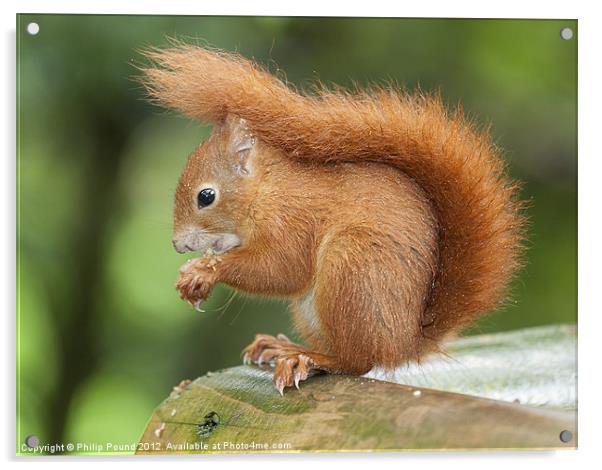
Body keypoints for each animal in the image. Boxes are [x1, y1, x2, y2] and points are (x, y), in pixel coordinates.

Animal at [138, 45, 524, 392]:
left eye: (206, 196)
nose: (178, 244)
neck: (266, 191)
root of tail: (405, 342)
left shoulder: (292, 220)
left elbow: (282, 269)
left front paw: (204, 270)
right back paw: (282, 346)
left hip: (353, 265)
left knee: (357, 361)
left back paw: (308, 359)